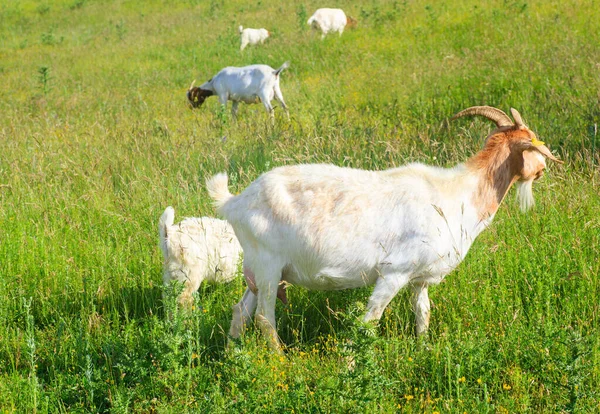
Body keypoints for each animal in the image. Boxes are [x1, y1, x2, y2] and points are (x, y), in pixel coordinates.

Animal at [206, 105, 564, 350]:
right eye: (532, 144)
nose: (544, 168)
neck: (457, 195)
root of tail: (235, 202)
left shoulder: (419, 278)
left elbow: (423, 313)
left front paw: (423, 349)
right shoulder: (394, 271)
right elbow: (370, 321)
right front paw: (352, 365)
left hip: (258, 270)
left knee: (240, 311)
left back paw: (233, 356)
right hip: (268, 265)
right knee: (265, 318)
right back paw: (279, 361)